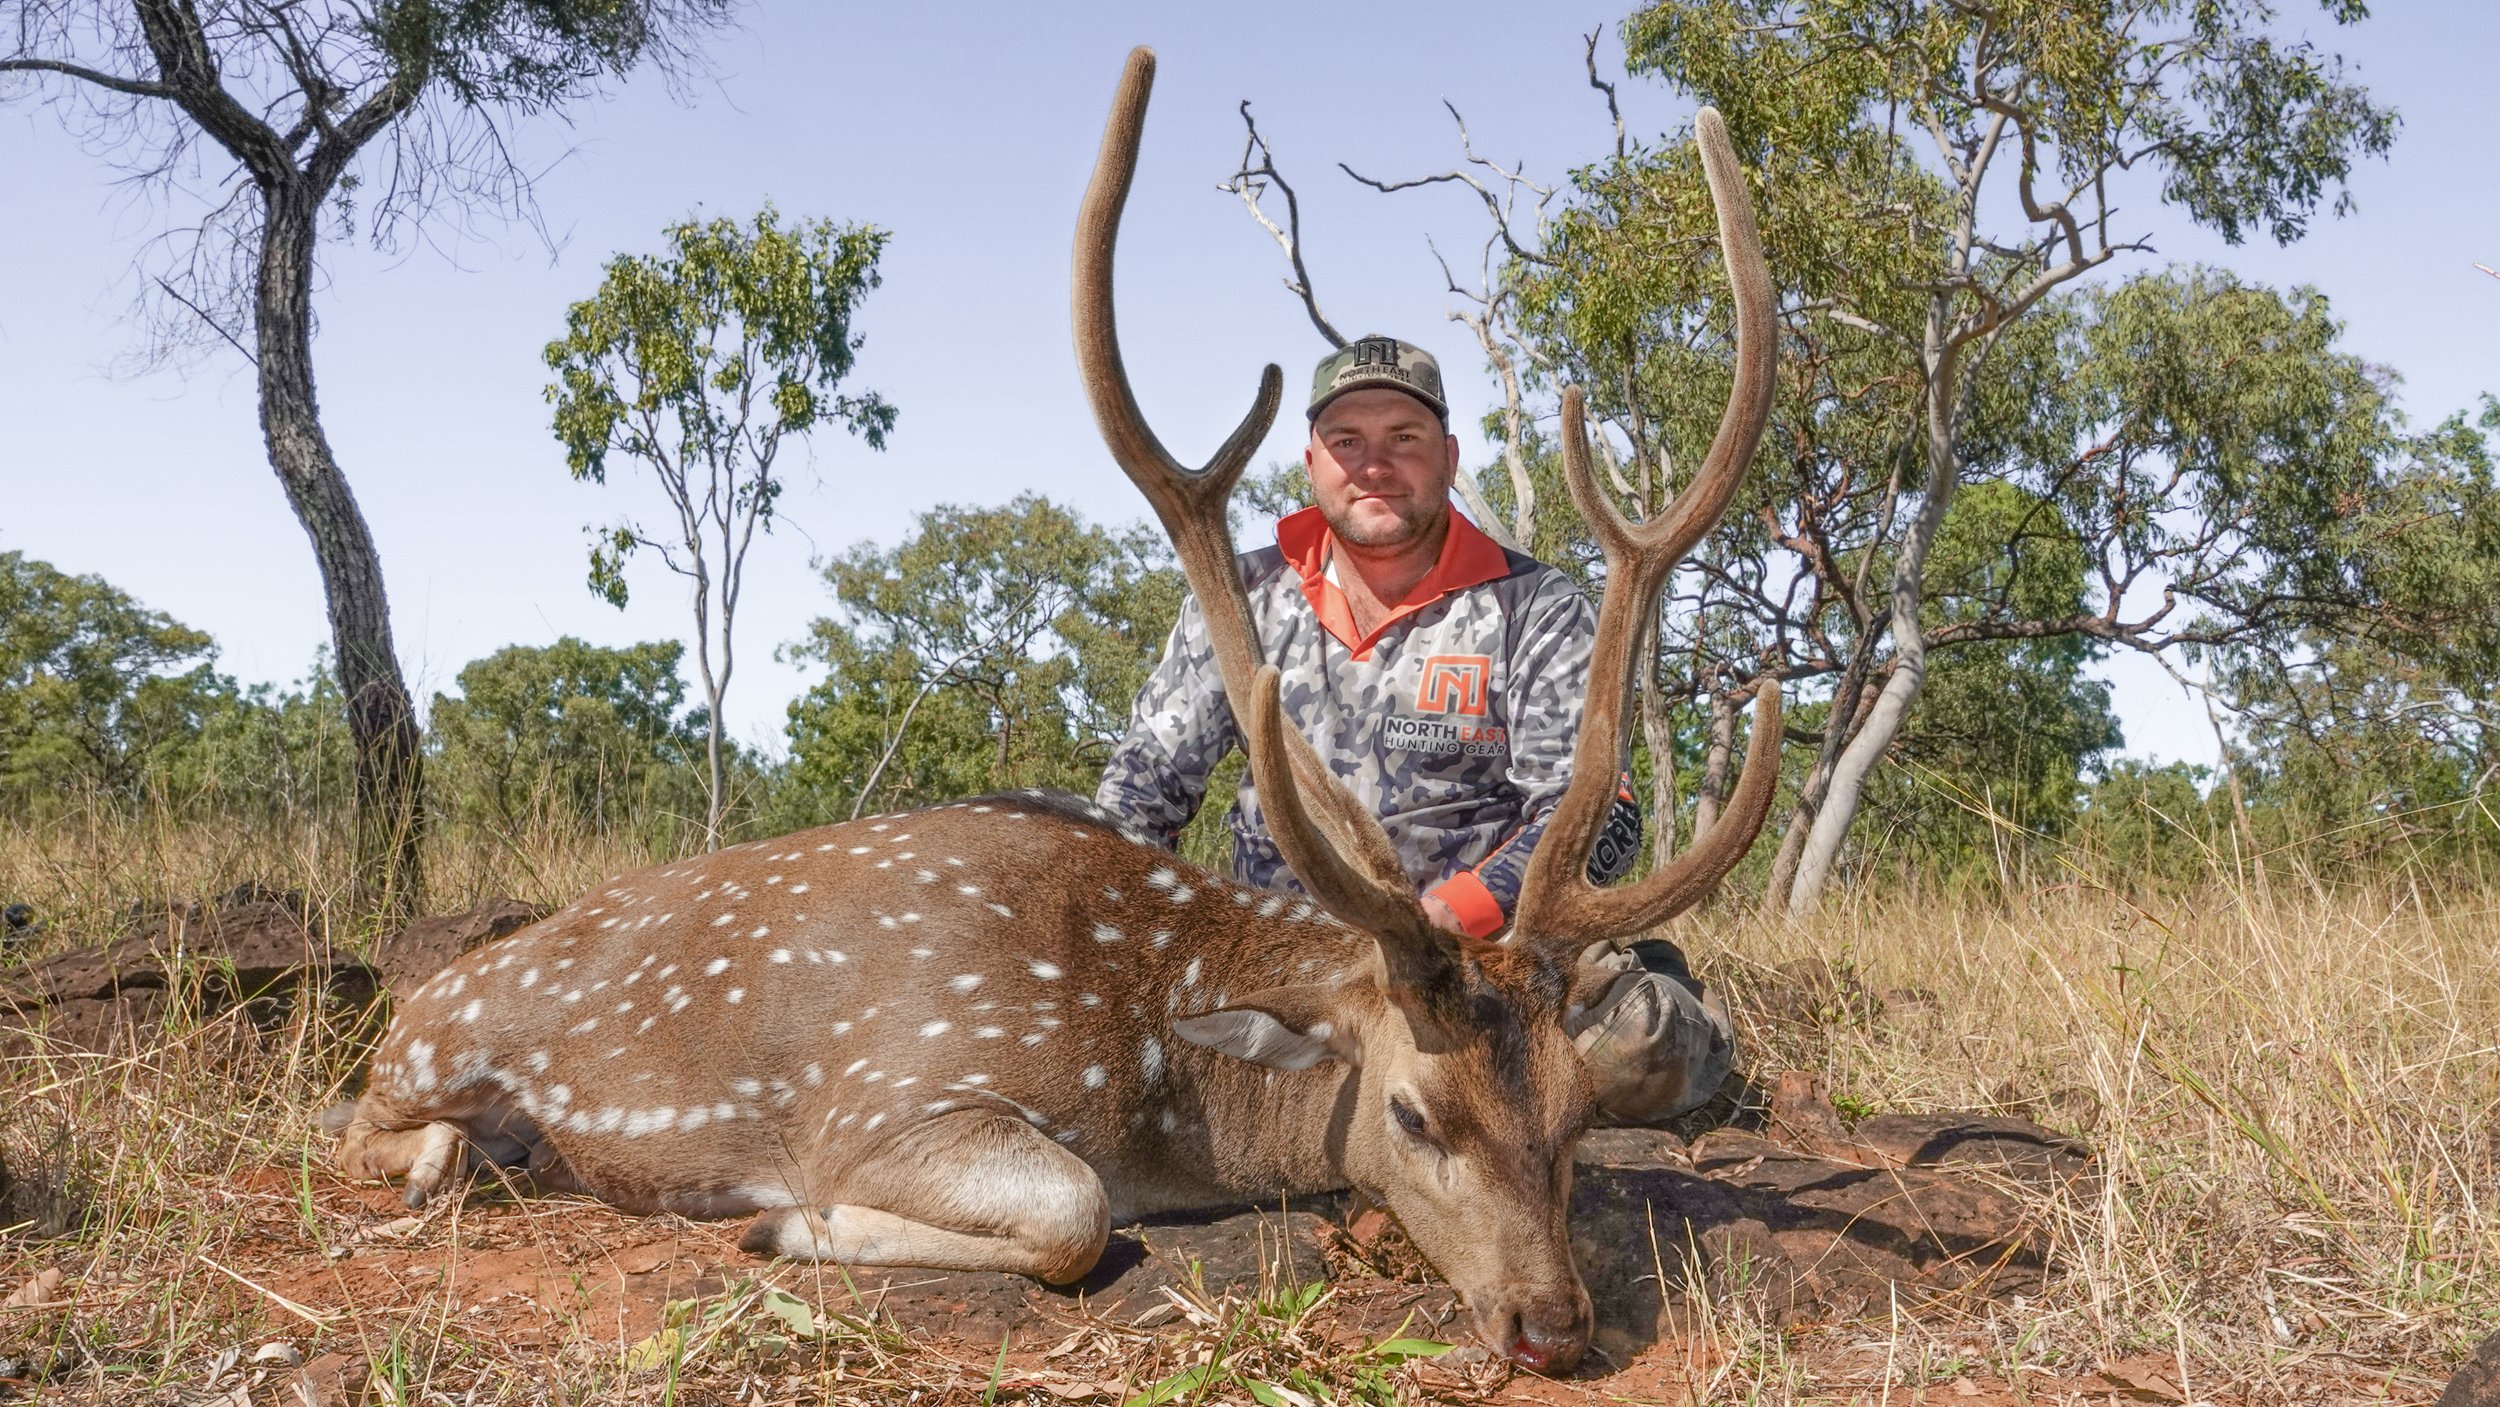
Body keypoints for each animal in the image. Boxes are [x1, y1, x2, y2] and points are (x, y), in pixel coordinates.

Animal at [327, 47, 1779, 1373]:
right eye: (1418, 1113)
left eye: (1578, 1114)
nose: (1554, 1326)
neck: (1156, 1074)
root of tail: (418, 998)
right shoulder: (888, 1098)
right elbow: (1074, 1211)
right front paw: (786, 1223)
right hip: (426, 1056)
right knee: (375, 1127)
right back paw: (463, 1153)